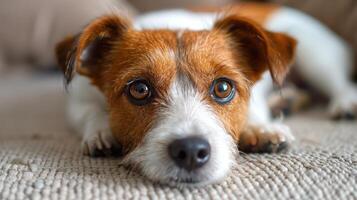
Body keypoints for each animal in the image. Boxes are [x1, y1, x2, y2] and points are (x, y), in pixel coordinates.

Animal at [55, 2, 356, 185]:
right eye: (139, 89)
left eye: (223, 88)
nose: (190, 151)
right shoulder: (77, 100)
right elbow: (90, 113)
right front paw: (101, 132)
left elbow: (254, 107)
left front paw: (260, 128)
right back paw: (287, 100)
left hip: (315, 56)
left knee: (339, 83)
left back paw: (345, 104)